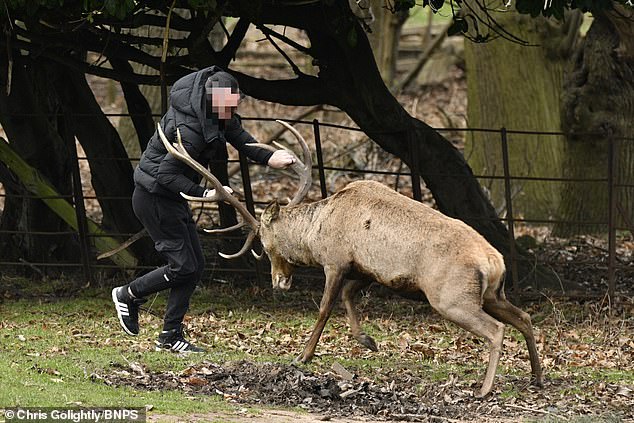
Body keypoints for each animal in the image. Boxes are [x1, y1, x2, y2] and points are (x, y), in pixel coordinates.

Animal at [156, 121, 540, 400]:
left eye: (264, 244)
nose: (279, 281)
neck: (317, 232)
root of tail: (495, 262)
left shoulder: (336, 260)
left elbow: (325, 307)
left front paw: (303, 356)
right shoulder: (366, 270)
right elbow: (348, 297)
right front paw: (368, 341)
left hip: (451, 297)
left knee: (496, 329)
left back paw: (485, 389)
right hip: (492, 294)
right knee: (523, 317)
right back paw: (536, 377)